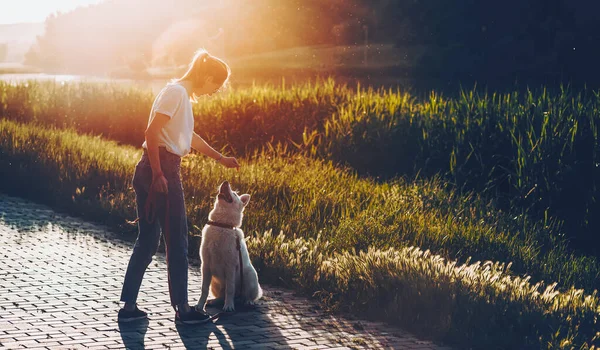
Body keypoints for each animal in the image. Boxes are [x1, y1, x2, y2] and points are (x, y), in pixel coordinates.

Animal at [197, 180, 262, 312]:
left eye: (235, 194)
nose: (225, 182)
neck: (221, 224)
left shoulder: (230, 267)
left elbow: (230, 289)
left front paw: (228, 306)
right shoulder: (205, 266)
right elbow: (204, 289)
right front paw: (200, 306)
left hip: (249, 275)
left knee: (248, 295)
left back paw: (248, 301)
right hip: (214, 283)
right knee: (222, 295)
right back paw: (214, 301)